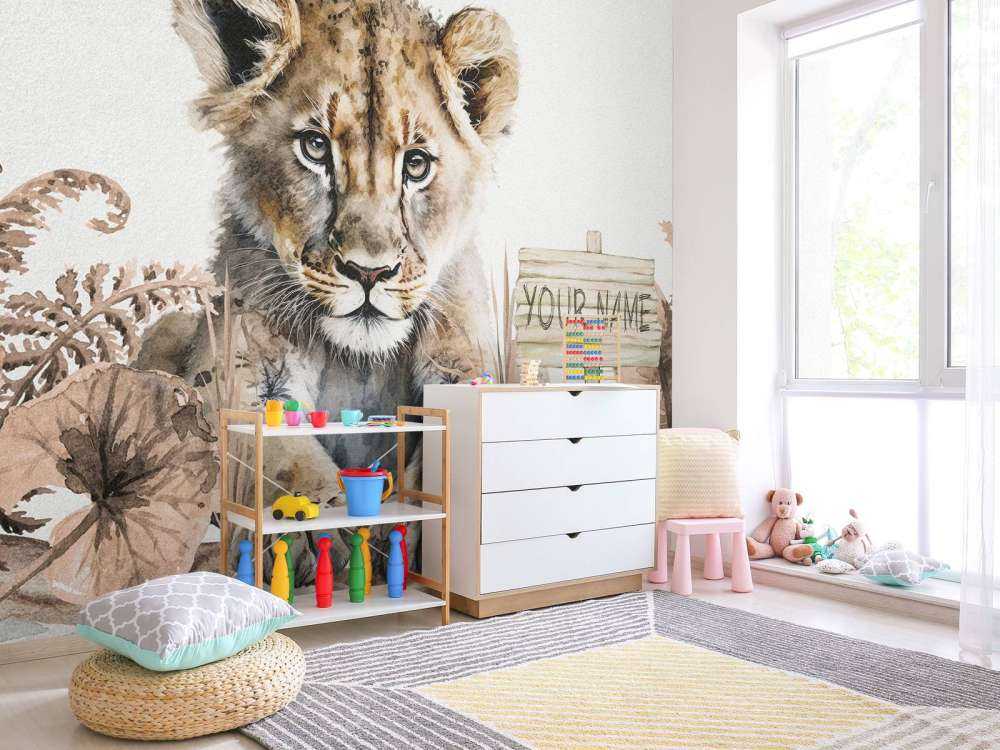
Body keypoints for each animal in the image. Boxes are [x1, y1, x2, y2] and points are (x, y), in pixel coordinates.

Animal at [137, 0, 519, 582]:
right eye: (315, 148)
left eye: (416, 164)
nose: (369, 271)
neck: (357, 361)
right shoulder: (242, 372)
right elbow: (280, 458)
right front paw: (328, 538)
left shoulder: (464, 367)